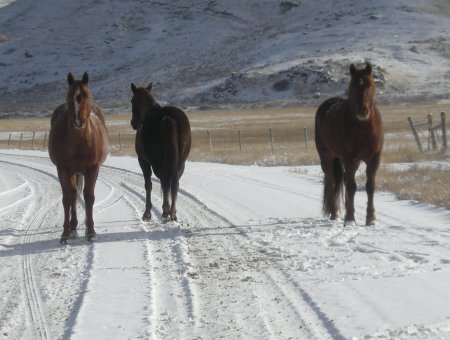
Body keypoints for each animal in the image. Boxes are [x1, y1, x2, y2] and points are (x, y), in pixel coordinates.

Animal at [49, 71, 109, 243]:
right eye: (69, 95)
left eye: (86, 95)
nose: (78, 120)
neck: (78, 141)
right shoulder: (63, 169)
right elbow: (67, 199)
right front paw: (65, 234)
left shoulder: (93, 169)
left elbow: (89, 197)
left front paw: (91, 231)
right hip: (73, 172)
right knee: (74, 196)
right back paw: (73, 226)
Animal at [129, 82, 191, 220]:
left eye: (132, 100)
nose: (133, 123)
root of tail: (168, 118)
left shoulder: (143, 161)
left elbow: (148, 185)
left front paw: (147, 212)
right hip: (180, 161)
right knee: (174, 182)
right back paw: (172, 211)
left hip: (157, 161)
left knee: (165, 181)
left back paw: (166, 210)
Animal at [316, 62, 384, 227]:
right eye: (353, 86)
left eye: (369, 85)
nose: (362, 111)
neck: (363, 128)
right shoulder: (350, 157)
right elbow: (352, 186)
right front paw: (350, 219)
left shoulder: (374, 158)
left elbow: (370, 186)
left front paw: (371, 218)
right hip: (327, 157)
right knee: (332, 181)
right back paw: (335, 214)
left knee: (345, 181)